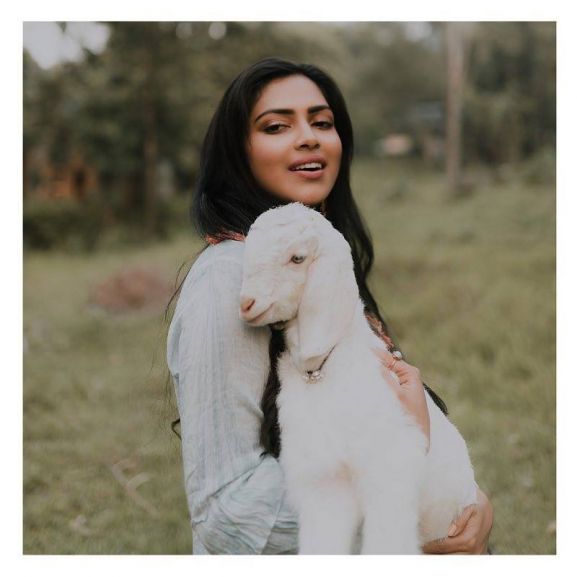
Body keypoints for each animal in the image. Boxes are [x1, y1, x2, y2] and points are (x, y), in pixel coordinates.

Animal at [238, 204, 476, 552]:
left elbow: (387, 543)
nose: (246, 304)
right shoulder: (323, 481)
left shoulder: (388, 469)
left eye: (297, 258)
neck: (322, 372)